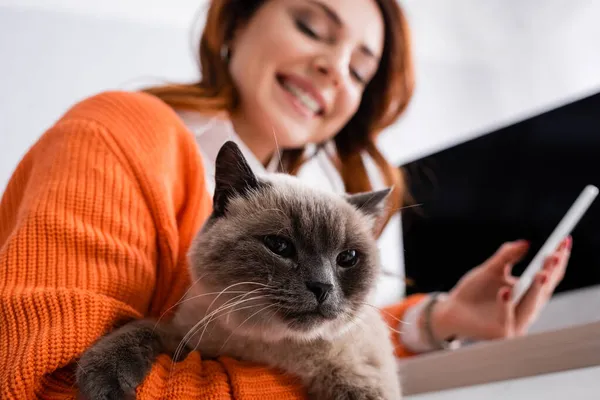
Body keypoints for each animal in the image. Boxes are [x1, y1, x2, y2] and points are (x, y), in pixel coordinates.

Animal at [76, 141, 404, 400]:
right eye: (279, 246)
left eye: (347, 258)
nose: (322, 287)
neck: (267, 348)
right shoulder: (185, 336)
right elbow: (141, 329)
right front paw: (105, 385)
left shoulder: (363, 382)